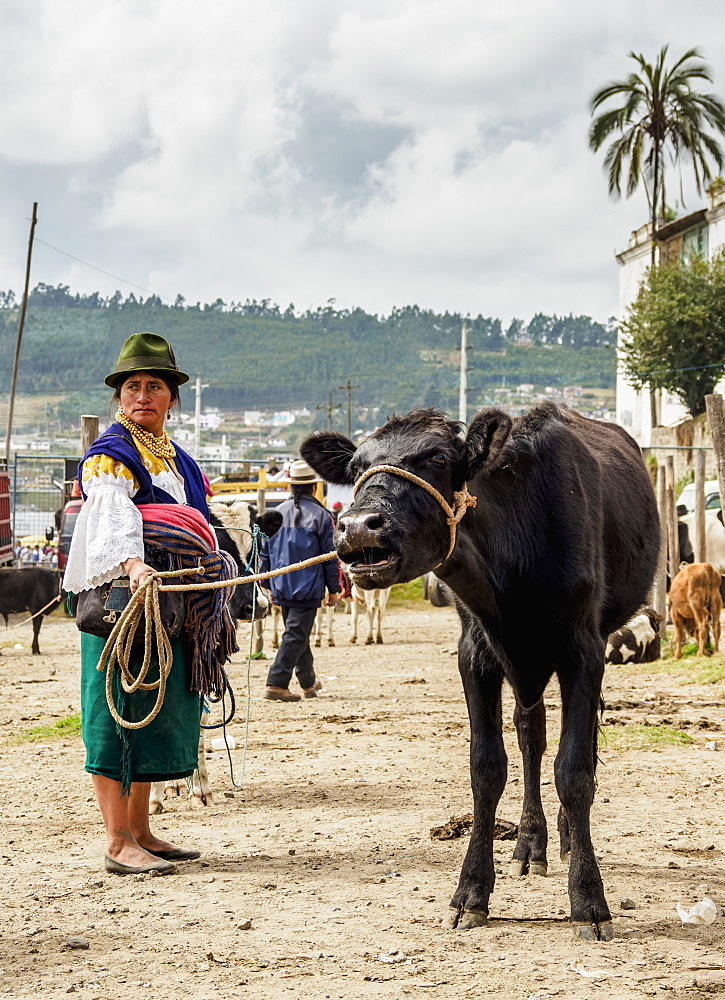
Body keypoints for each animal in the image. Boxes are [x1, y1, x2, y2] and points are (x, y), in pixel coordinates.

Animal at [302, 402, 660, 940]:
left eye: (436, 457)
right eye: (358, 466)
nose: (360, 526)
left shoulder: (584, 649)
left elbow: (575, 770)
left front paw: (589, 900)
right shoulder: (475, 652)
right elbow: (487, 768)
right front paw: (470, 892)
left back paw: (567, 837)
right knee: (531, 734)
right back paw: (531, 843)